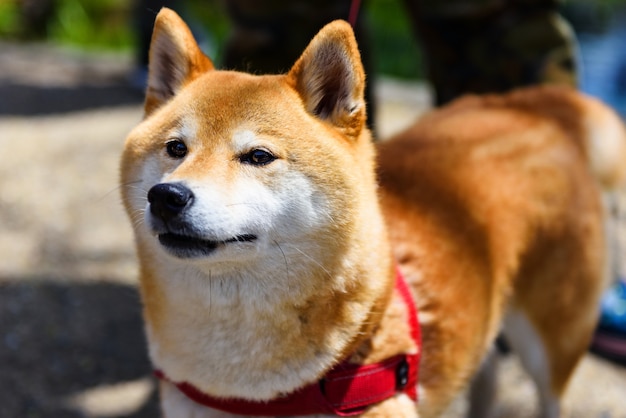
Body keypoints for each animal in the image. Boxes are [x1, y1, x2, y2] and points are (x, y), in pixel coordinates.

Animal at [120, 7, 624, 418]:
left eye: (258, 156)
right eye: (176, 148)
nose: (167, 196)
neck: (254, 393)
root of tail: (533, 106)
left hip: (553, 340)